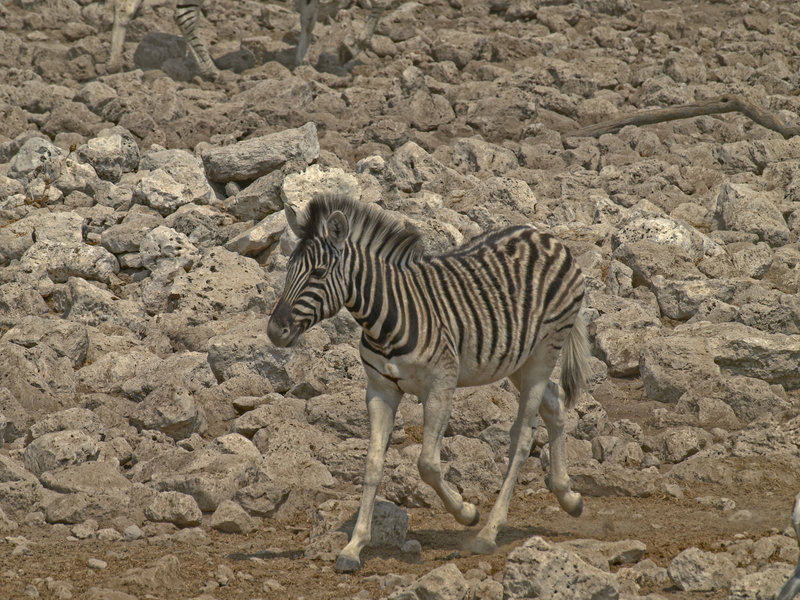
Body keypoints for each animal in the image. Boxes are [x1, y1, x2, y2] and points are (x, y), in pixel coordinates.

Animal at [108, 0, 384, 79]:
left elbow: (309, 18)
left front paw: (301, 63)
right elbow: (380, 4)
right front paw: (354, 45)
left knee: (124, 7)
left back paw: (114, 63)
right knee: (184, 17)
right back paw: (211, 71)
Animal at [268, 193, 592, 572]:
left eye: (318, 273)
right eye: (288, 270)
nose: (274, 332)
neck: (384, 318)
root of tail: (546, 237)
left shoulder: (441, 386)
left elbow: (427, 464)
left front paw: (467, 513)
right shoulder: (380, 390)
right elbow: (372, 464)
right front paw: (353, 546)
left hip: (544, 350)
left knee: (524, 436)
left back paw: (489, 531)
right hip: (517, 358)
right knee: (554, 404)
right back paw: (569, 496)